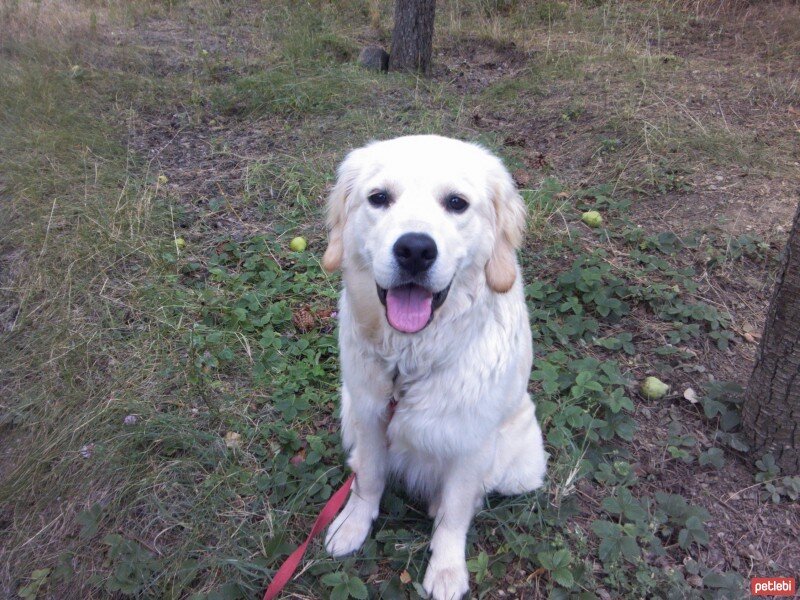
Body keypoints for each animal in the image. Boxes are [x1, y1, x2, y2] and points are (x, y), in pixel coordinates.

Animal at [322, 136, 548, 600]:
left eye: (456, 203)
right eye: (379, 198)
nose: (415, 250)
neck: (408, 362)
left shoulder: (471, 443)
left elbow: (456, 513)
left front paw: (446, 571)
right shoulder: (370, 416)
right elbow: (368, 478)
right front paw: (353, 524)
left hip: (520, 466)